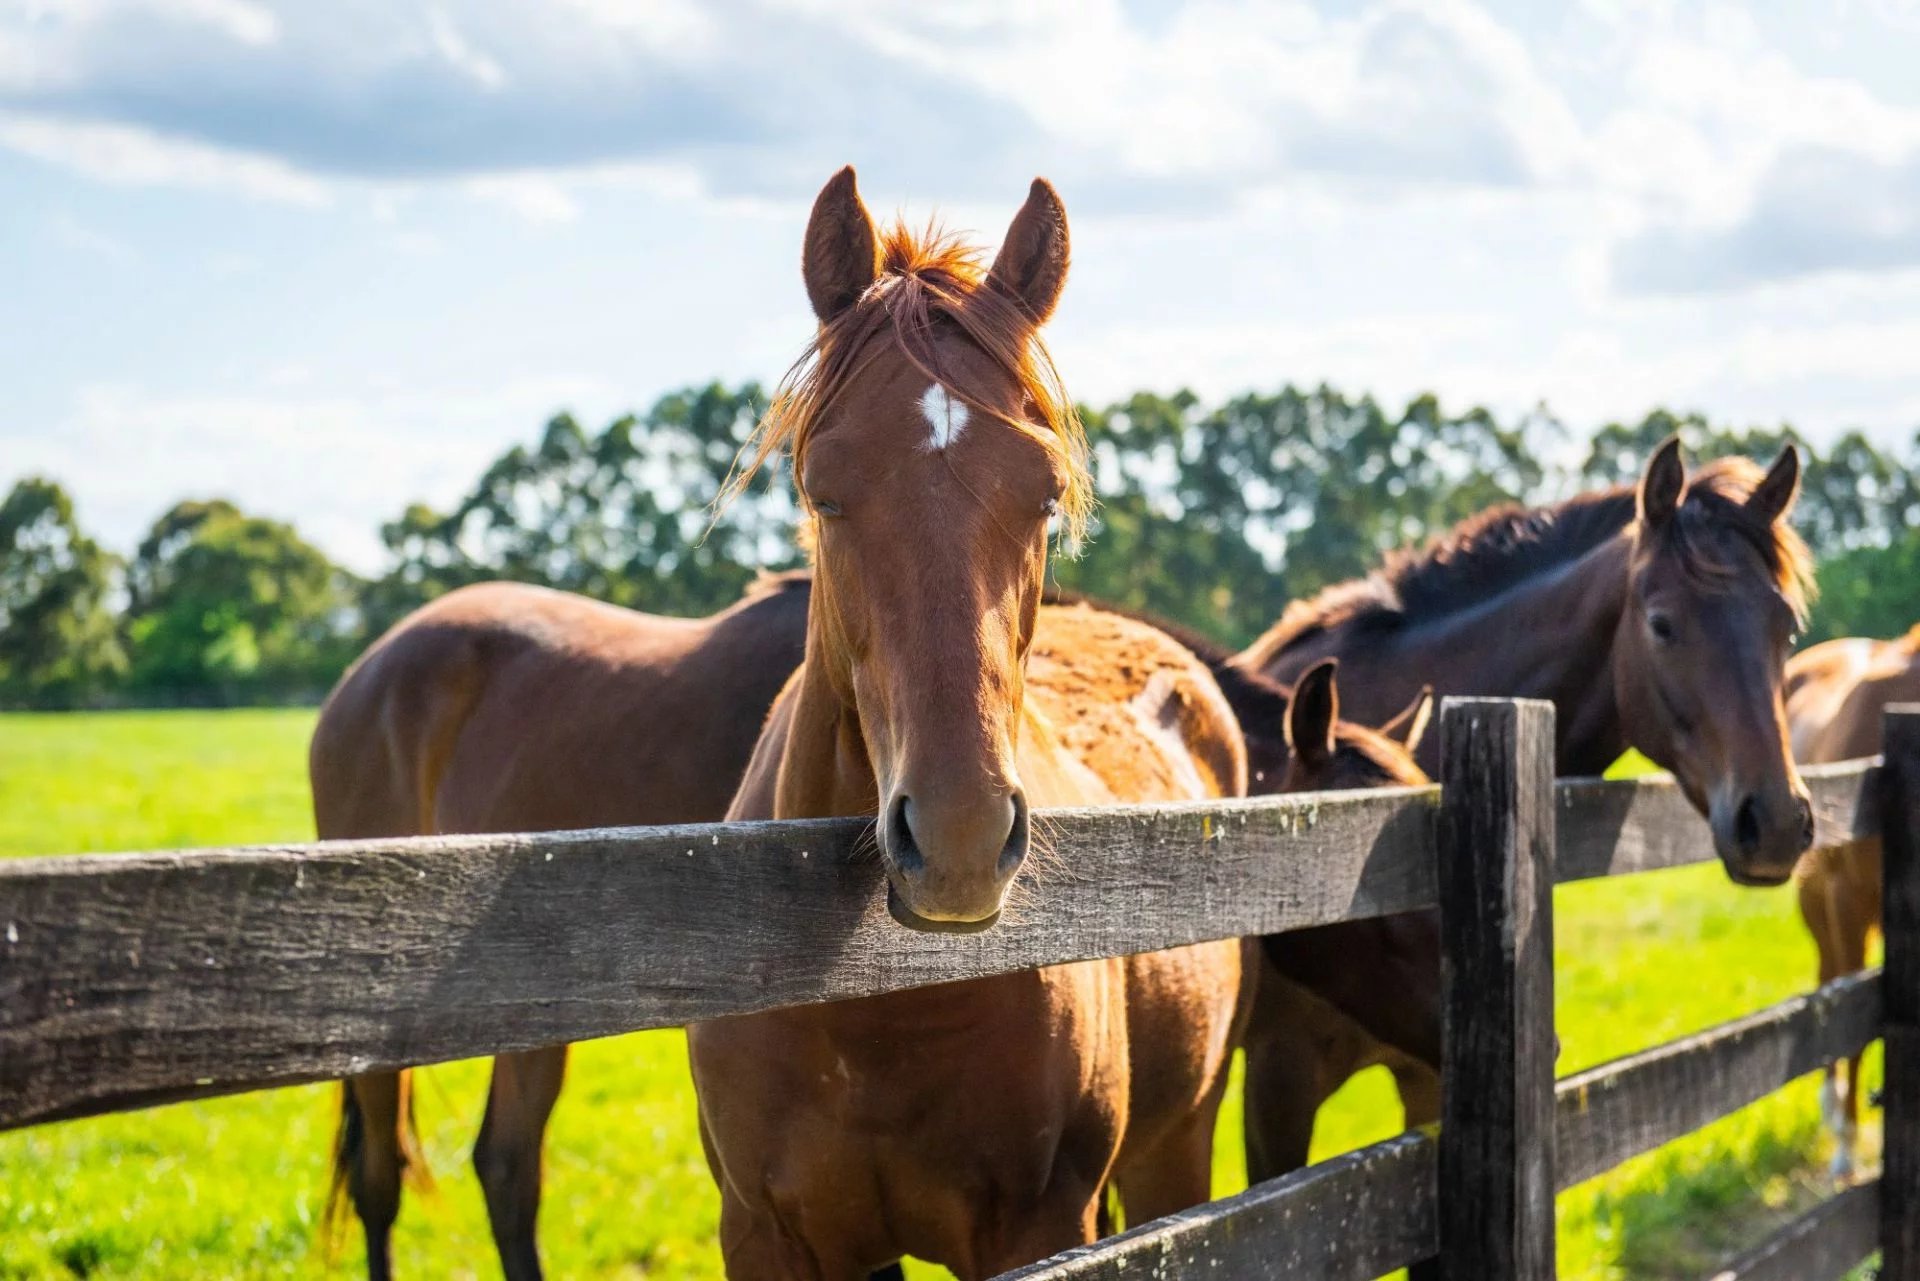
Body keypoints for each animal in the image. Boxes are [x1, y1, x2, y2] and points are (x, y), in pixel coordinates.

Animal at [691, 172, 1259, 1281]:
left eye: (1044, 494)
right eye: (823, 490)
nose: (957, 839)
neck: (878, 1004)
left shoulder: (1040, 1224)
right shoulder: (770, 1233)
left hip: (1179, 1144)